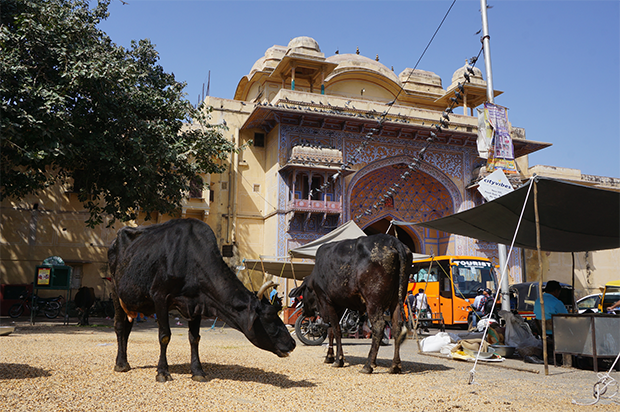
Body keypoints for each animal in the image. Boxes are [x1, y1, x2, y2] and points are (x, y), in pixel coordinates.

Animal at [108, 219, 296, 384]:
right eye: (269, 315)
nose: (293, 343)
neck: (190, 258)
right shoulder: (160, 296)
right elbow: (164, 336)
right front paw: (162, 372)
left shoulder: (197, 303)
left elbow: (194, 338)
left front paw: (198, 371)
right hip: (115, 290)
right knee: (119, 326)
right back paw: (120, 364)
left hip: (131, 302)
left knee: (127, 329)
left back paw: (124, 361)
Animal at [290, 235, 412, 374]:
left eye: (303, 293)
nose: (304, 312)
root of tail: (393, 240)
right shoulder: (339, 306)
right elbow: (331, 330)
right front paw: (330, 356)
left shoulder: (327, 302)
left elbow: (336, 330)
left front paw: (338, 360)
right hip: (397, 300)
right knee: (397, 328)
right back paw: (395, 366)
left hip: (373, 302)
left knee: (379, 327)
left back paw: (368, 365)